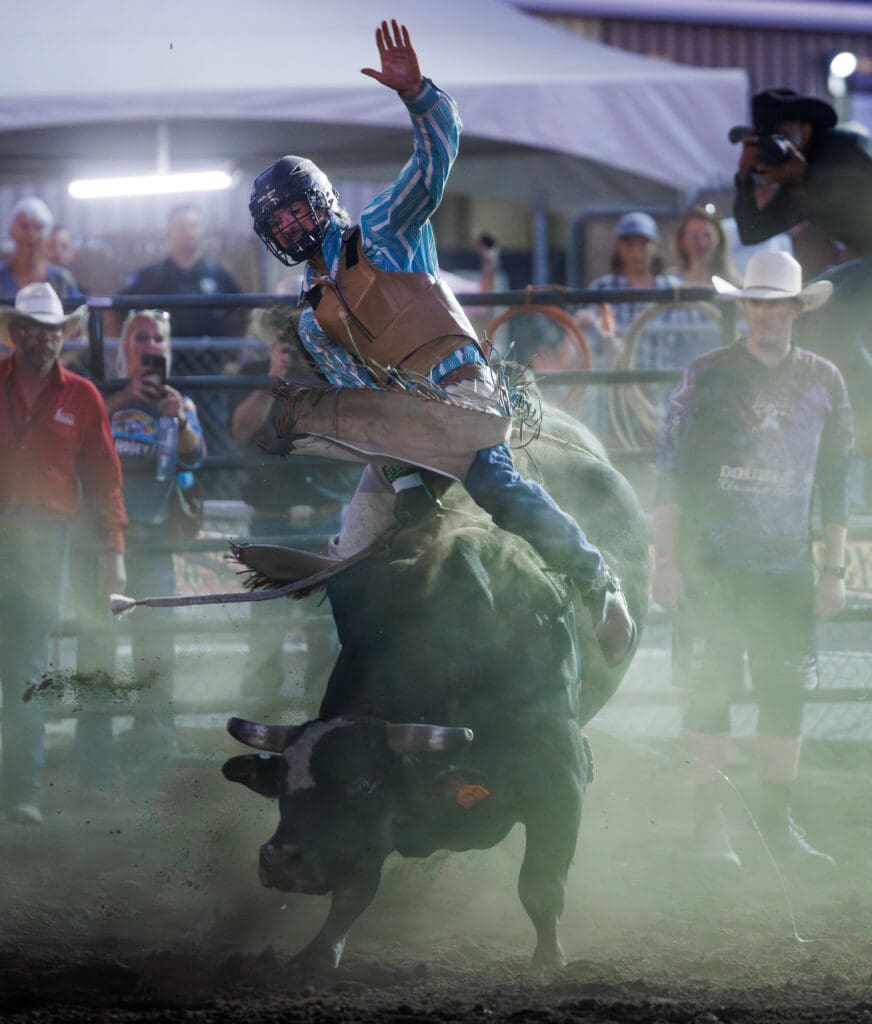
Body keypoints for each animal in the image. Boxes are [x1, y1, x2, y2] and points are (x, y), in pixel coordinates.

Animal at [221, 405, 650, 966]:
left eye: (363, 783)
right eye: (282, 784)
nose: (281, 860)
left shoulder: (560, 772)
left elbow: (541, 885)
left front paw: (548, 961)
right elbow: (355, 890)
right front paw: (316, 955)